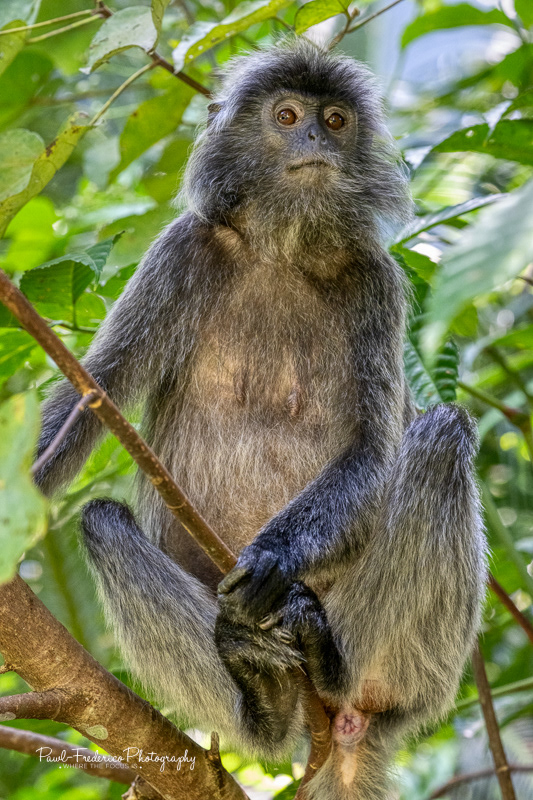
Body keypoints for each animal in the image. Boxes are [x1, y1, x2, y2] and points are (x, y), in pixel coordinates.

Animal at [35, 39, 487, 800]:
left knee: (440, 435)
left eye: (334, 121)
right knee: (102, 522)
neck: (284, 244)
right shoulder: (181, 248)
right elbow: (80, 411)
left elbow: (374, 447)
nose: (314, 142)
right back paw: (265, 701)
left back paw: (336, 671)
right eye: (287, 117)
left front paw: (273, 556)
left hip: (384, 645)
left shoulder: (375, 278)